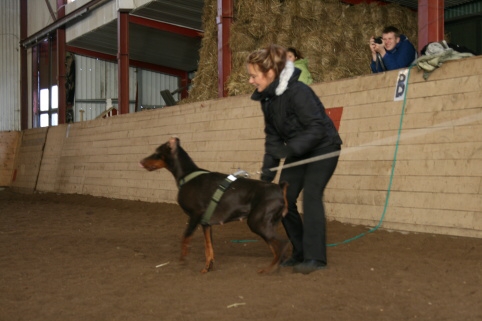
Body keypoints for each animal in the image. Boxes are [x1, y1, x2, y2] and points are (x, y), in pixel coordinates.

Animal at [140, 136, 290, 272]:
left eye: (157, 152)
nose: (141, 162)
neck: (187, 175)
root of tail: (279, 188)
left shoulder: (195, 214)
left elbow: (185, 237)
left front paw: (183, 259)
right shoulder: (205, 223)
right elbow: (208, 247)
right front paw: (207, 267)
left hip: (257, 222)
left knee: (282, 244)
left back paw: (269, 269)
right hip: (268, 223)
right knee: (276, 247)